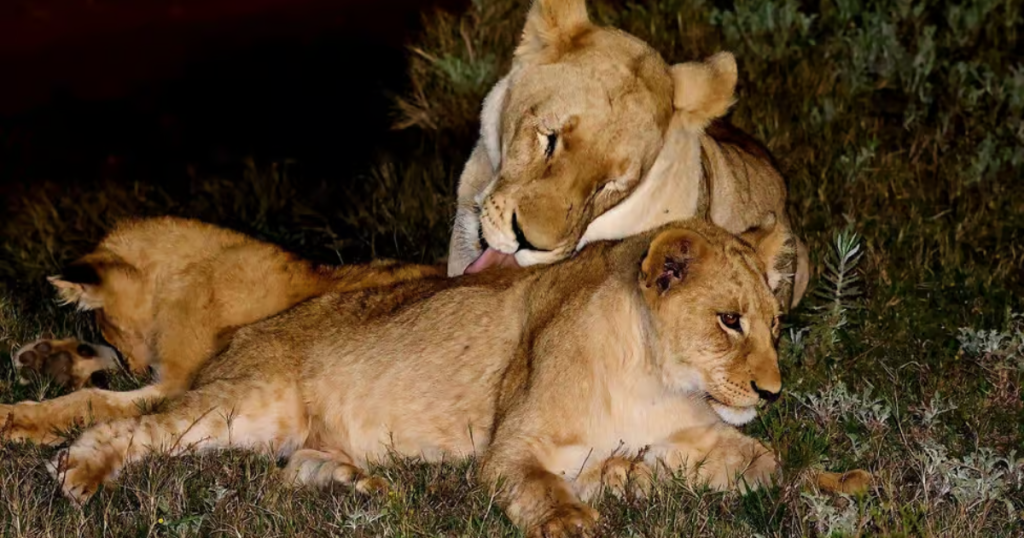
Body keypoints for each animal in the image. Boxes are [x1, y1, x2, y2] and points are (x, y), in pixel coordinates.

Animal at [2, 216, 444, 444]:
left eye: (110, 328)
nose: (134, 369)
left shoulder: (179, 384)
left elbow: (93, 401)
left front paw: (16, 419)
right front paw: (50, 359)